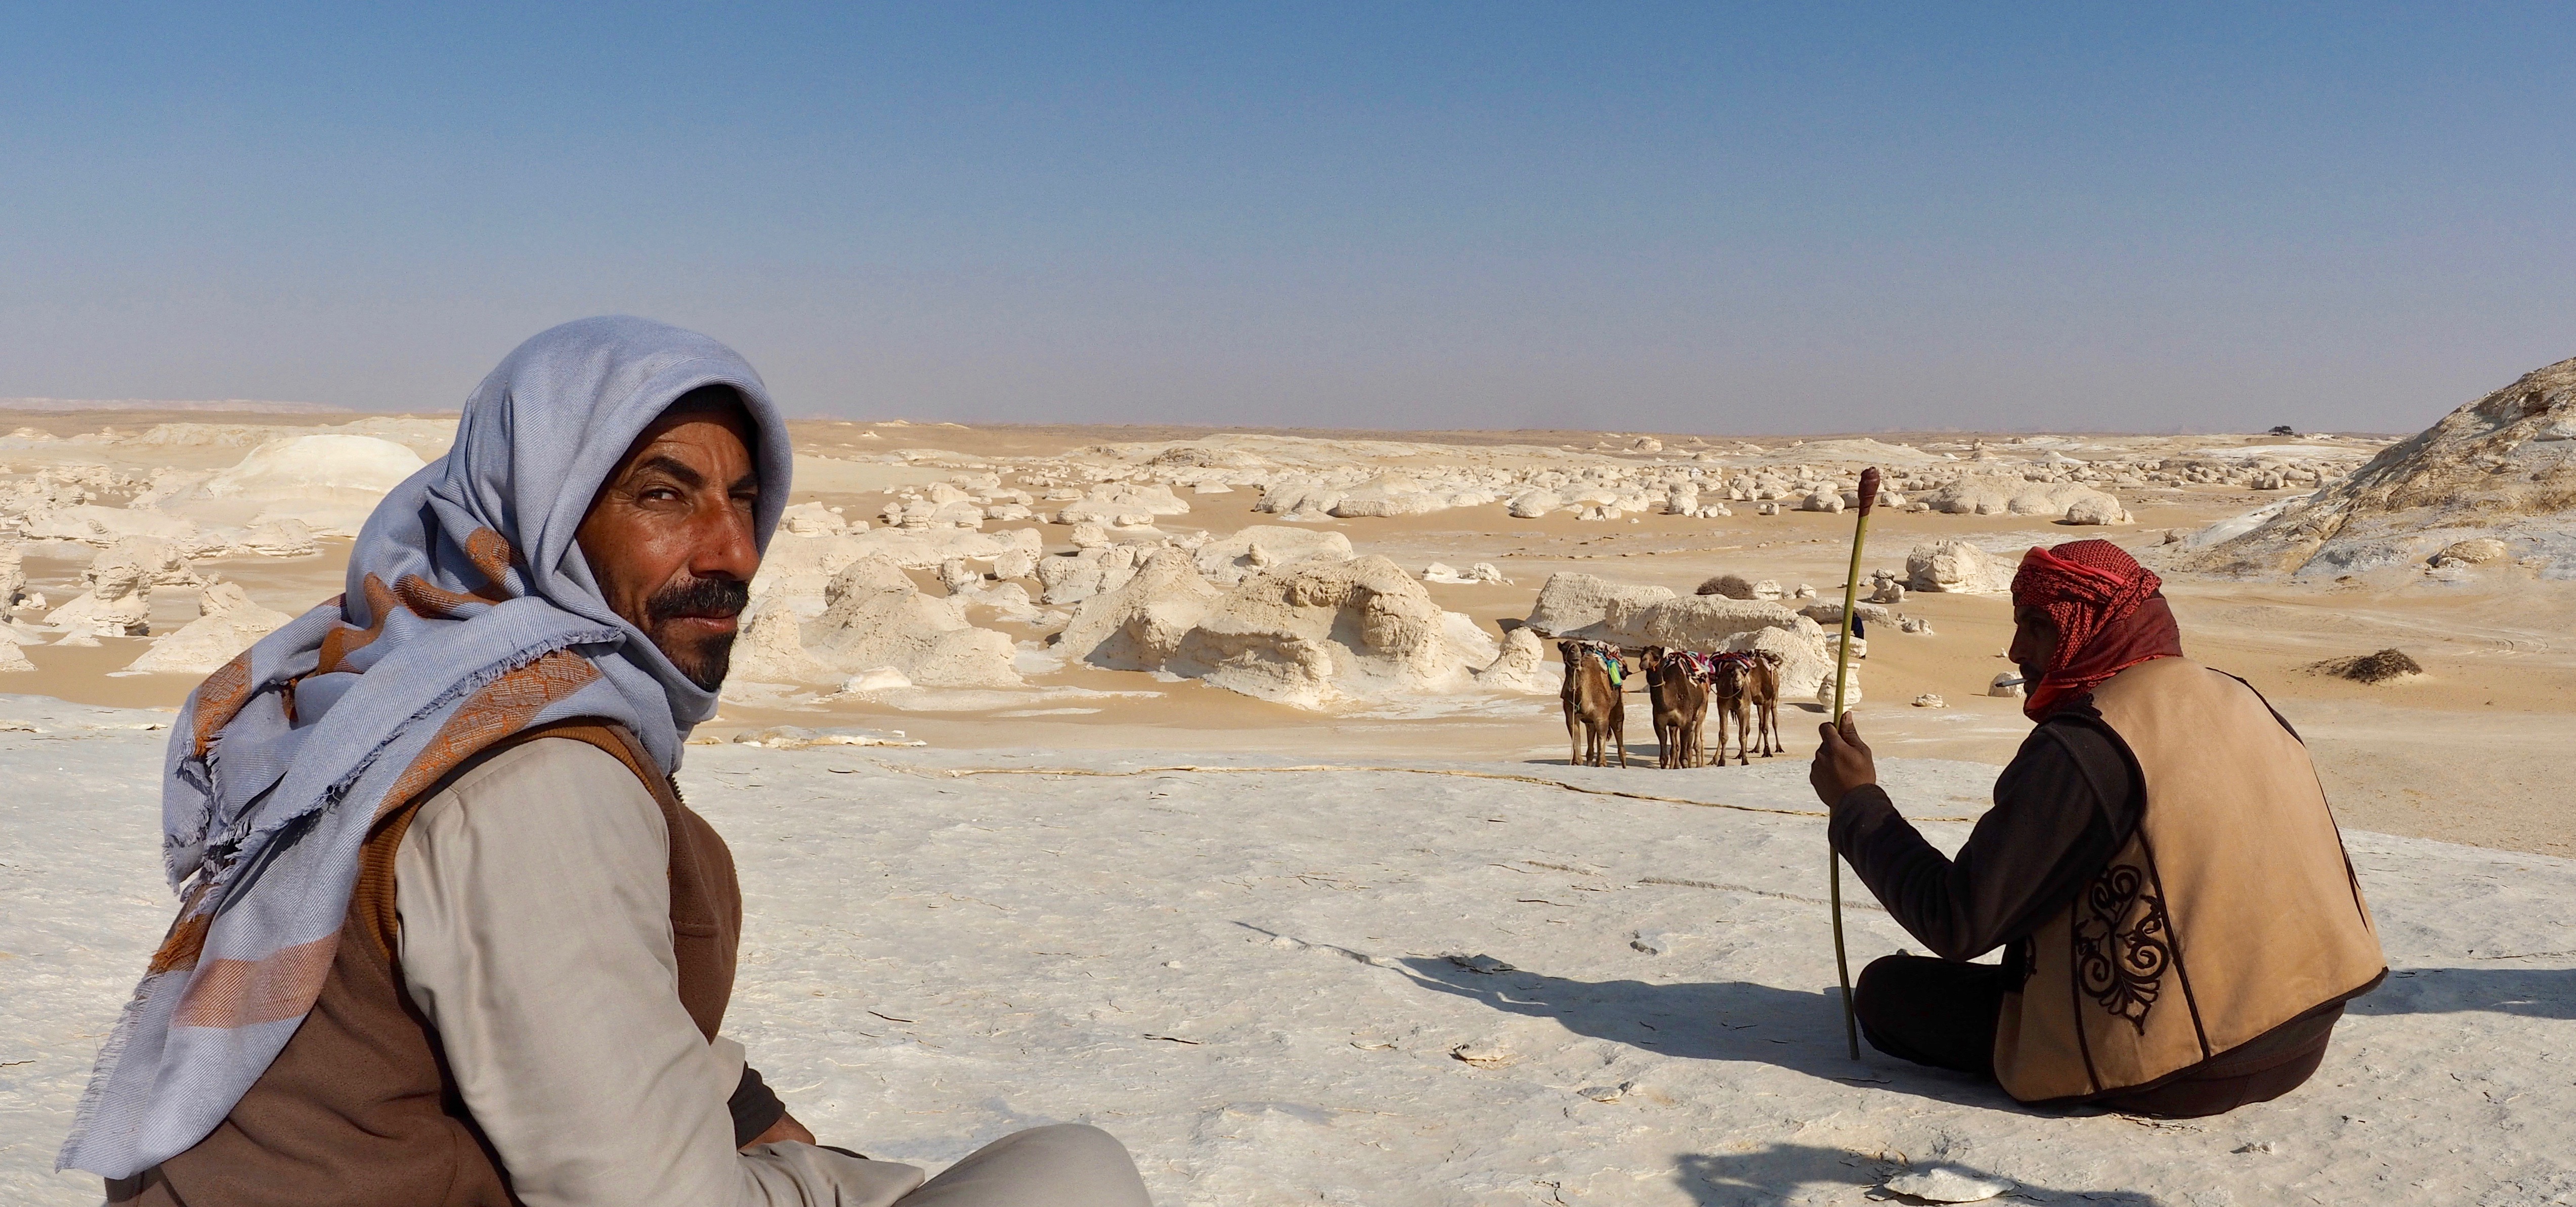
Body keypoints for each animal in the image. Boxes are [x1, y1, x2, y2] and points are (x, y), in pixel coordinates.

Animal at [1557, 639, 1627, 768]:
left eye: (1581, 649)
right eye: (1565, 649)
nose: (1575, 655)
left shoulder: (1602, 715)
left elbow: (1602, 735)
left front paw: (1602, 763)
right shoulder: (1570, 713)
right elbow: (1575, 734)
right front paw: (1576, 762)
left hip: (1618, 704)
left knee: (1618, 727)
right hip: (1590, 721)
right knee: (1591, 735)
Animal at [1639, 646, 1709, 768]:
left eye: (1657, 657)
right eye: (1641, 655)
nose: (1643, 664)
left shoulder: (1685, 723)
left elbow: (1683, 759)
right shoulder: (1659, 723)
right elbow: (1664, 759)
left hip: (1701, 711)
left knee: (1694, 743)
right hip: (1675, 724)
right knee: (1679, 746)